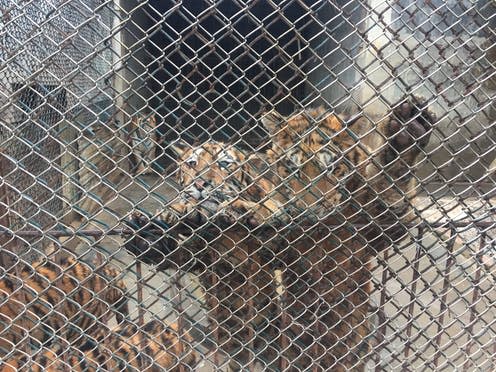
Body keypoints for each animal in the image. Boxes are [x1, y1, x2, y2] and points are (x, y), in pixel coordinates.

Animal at [125, 96, 434, 372]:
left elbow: (389, 187)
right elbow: (190, 247)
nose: (201, 184)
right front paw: (157, 228)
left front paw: (405, 133)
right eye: (191, 164)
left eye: (331, 168)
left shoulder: (374, 229)